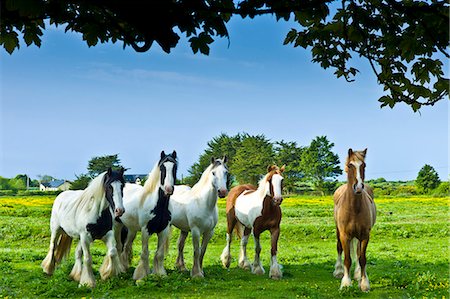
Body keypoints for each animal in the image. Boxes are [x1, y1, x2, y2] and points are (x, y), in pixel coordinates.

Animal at [334, 149, 376, 292]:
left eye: (364, 165)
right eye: (350, 165)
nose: (358, 187)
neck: (354, 208)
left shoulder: (365, 236)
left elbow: (362, 258)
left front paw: (364, 283)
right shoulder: (344, 236)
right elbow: (347, 259)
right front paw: (346, 283)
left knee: (357, 253)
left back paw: (358, 274)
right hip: (338, 232)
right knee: (339, 248)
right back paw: (339, 271)